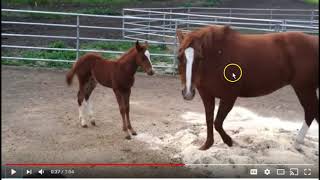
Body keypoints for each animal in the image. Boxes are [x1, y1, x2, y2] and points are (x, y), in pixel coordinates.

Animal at [176, 25, 318, 149]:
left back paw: (297, 143)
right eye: (179, 57)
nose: (187, 93)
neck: (217, 56)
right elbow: (209, 119)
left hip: (304, 88)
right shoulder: (206, 95)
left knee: (311, 111)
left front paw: (229, 141)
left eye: (200, 58)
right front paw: (207, 145)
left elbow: (217, 122)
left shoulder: (229, 97)